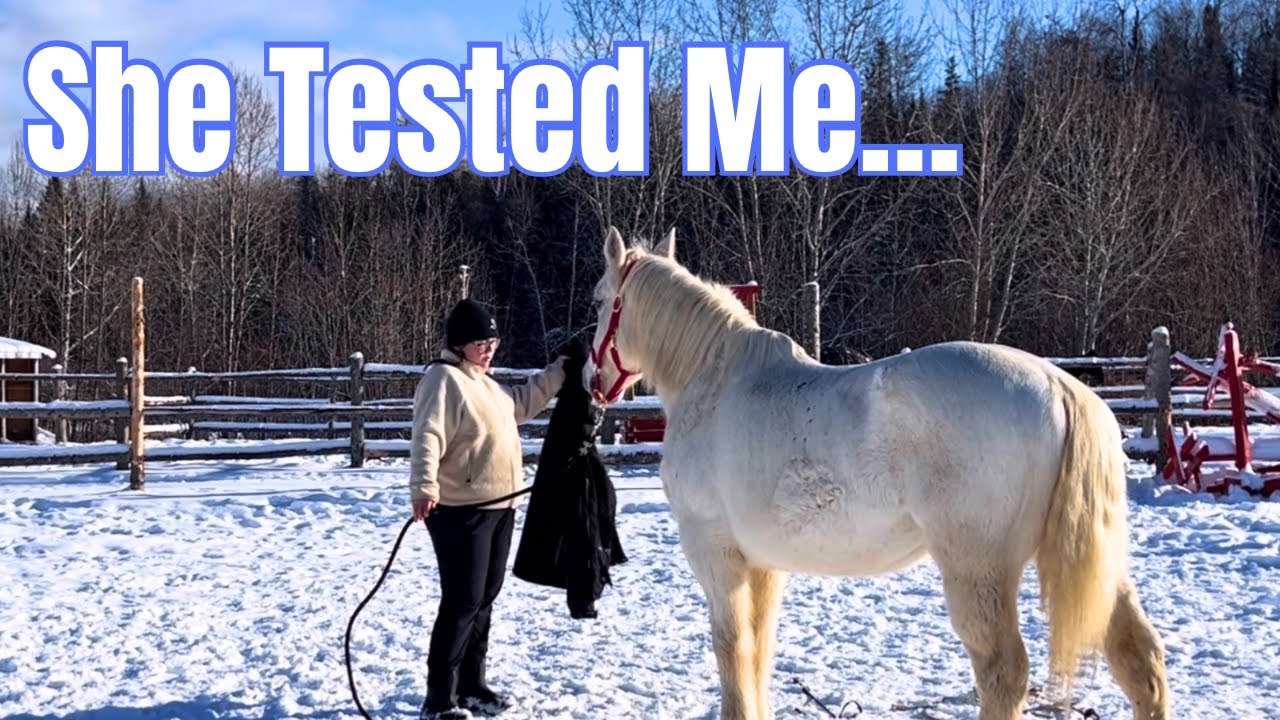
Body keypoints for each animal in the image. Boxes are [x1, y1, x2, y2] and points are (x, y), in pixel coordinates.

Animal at [585, 227, 1169, 720]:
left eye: (598, 300)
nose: (593, 379)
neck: (717, 381)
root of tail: (1058, 385)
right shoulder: (764, 567)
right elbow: (759, 651)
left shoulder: (717, 556)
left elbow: (732, 651)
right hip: (1096, 564)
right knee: (1141, 662)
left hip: (977, 571)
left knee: (1004, 672)